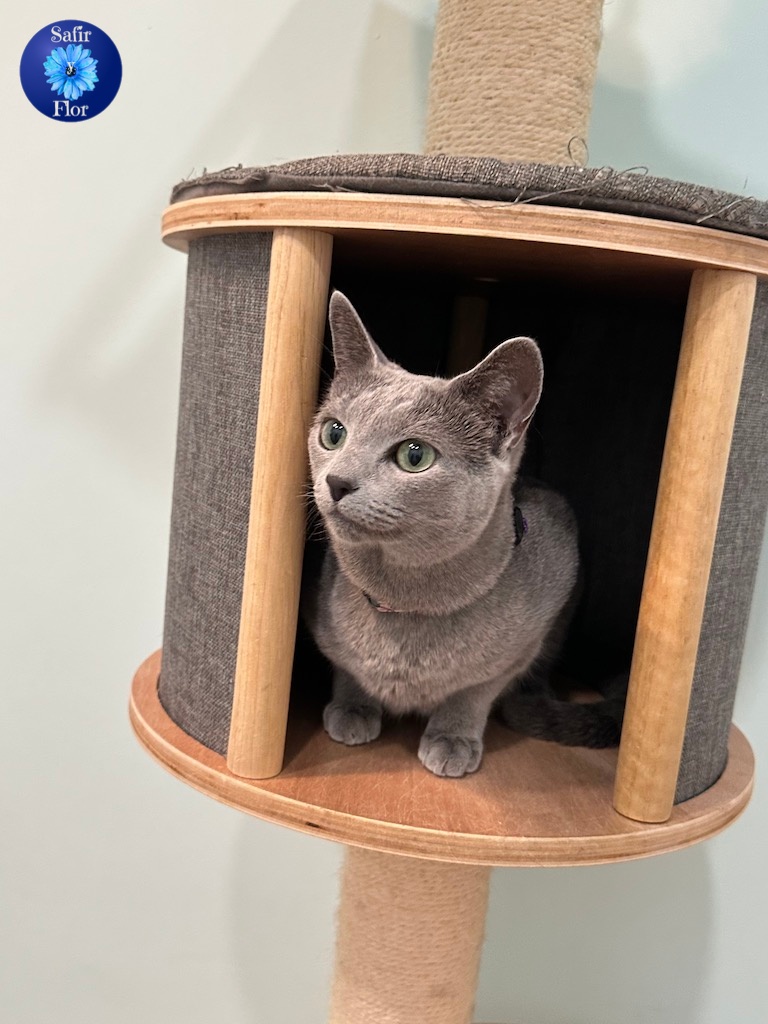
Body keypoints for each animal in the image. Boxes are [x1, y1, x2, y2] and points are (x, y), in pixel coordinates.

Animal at [304, 291, 612, 778]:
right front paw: (351, 708)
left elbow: (474, 690)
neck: (405, 604)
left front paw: (451, 738)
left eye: (414, 456)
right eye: (334, 433)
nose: (337, 481)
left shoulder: (530, 628)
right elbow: (347, 667)